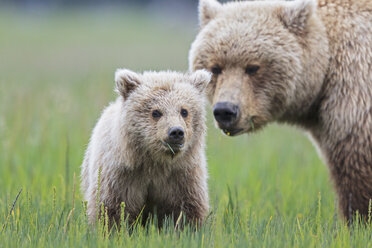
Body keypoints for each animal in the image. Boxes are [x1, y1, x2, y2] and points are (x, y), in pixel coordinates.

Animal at [80, 69, 211, 228]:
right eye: (156, 112)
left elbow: (186, 209)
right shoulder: (120, 175)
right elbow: (111, 208)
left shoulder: (183, 175)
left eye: (184, 111)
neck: (154, 162)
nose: (176, 132)